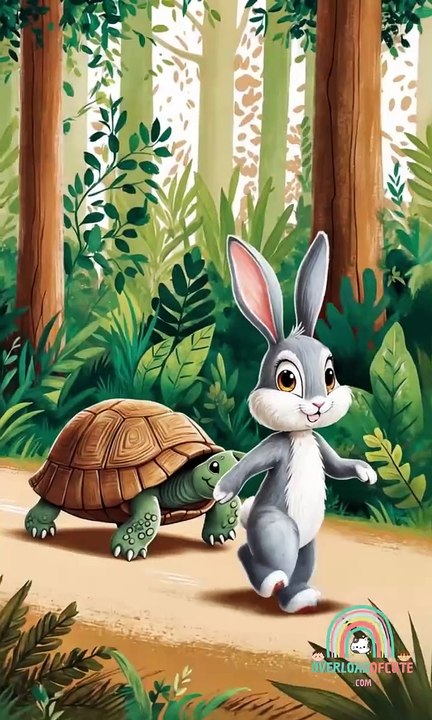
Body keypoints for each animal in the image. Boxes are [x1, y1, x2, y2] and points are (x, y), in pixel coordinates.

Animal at [213, 231, 377, 614]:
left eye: (329, 376)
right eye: (287, 379)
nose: (317, 404)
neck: (301, 437)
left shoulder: (318, 443)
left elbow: (338, 466)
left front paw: (366, 472)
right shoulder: (276, 446)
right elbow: (248, 465)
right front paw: (222, 490)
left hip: (308, 545)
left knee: (299, 566)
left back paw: (298, 598)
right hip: (277, 527)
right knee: (256, 552)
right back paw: (270, 581)